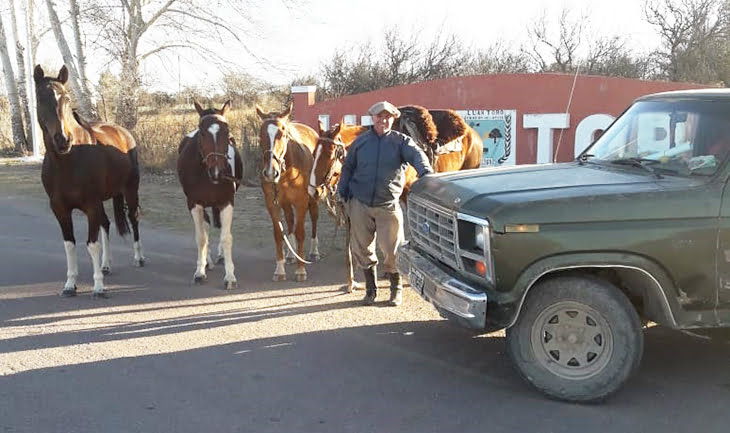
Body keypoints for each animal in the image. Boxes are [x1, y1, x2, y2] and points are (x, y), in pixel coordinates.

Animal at [33, 63, 144, 296]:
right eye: (40, 99)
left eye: (66, 98)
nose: (63, 140)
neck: (69, 160)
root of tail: (123, 132)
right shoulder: (60, 209)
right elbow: (70, 244)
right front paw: (69, 285)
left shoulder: (91, 205)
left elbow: (92, 244)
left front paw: (98, 287)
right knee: (107, 224)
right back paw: (106, 265)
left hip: (130, 190)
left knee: (133, 219)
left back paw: (139, 258)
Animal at [178, 99, 243, 288]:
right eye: (202, 133)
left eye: (227, 132)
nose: (217, 171)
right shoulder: (194, 204)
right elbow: (201, 237)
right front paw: (200, 272)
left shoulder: (226, 202)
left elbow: (226, 238)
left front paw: (230, 276)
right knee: (205, 227)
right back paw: (207, 262)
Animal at [256, 103, 318, 282]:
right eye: (261, 136)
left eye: (283, 134)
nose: (270, 172)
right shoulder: (273, 203)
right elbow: (279, 233)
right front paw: (280, 269)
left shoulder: (302, 202)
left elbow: (300, 232)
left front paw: (301, 270)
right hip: (285, 203)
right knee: (290, 221)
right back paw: (290, 255)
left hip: (313, 200)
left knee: (314, 220)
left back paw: (314, 252)